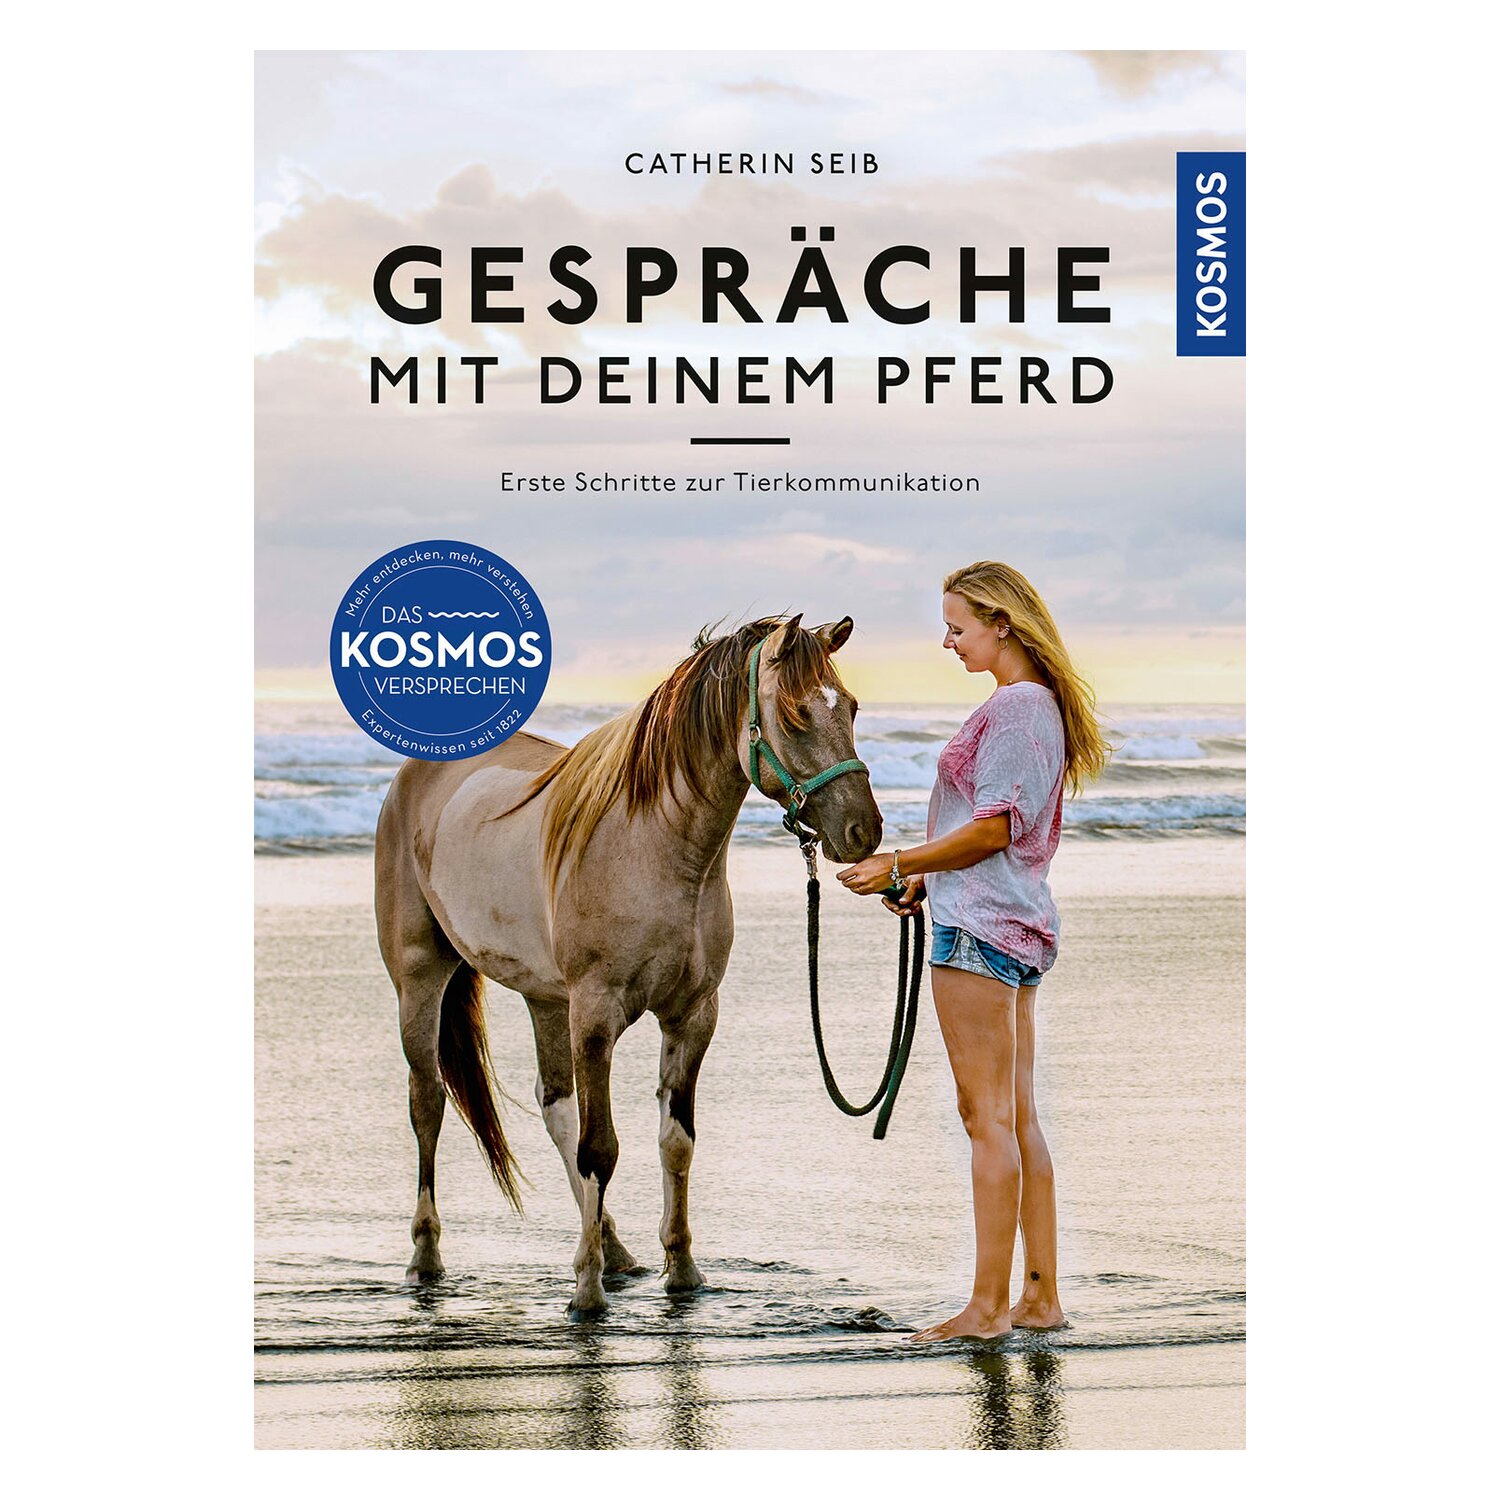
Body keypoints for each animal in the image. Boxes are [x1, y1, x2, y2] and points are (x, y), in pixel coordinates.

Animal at [373, 613, 882, 1315]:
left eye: (852, 707)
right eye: (796, 714)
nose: (864, 832)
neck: (655, 848)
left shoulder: (692, 1016)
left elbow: (675, 1142)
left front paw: (682, 1271)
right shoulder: (595, 1015)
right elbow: (601, 1149)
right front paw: (585, 1294)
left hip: (545, 998)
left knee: (554, 1105)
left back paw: (614, 1249)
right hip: (421, 980)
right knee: (428, 1104)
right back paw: (427, 1256)